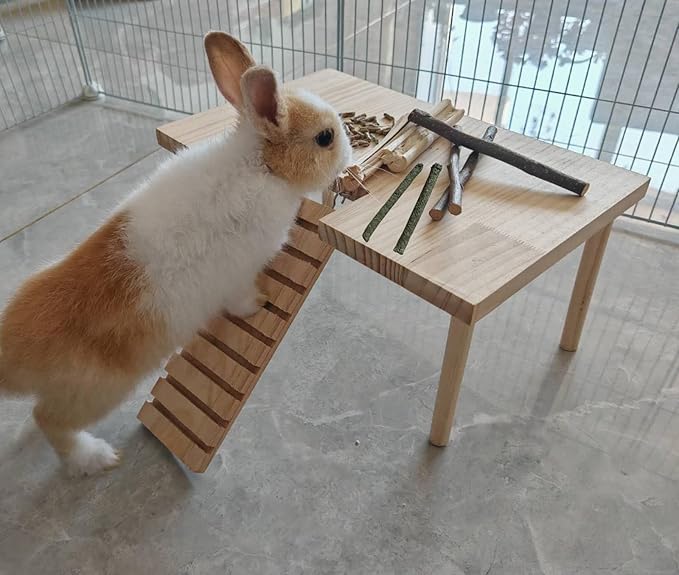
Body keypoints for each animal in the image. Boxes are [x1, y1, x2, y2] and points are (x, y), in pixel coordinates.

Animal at [0, 31, 352, 476]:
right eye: (325, 137)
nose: (350, 152)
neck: (260, 165)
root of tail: (10, 359)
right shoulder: (237, 274)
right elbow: (241, 299)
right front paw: (259, 303)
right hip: (96, 393)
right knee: (47, 420)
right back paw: (95, 457)